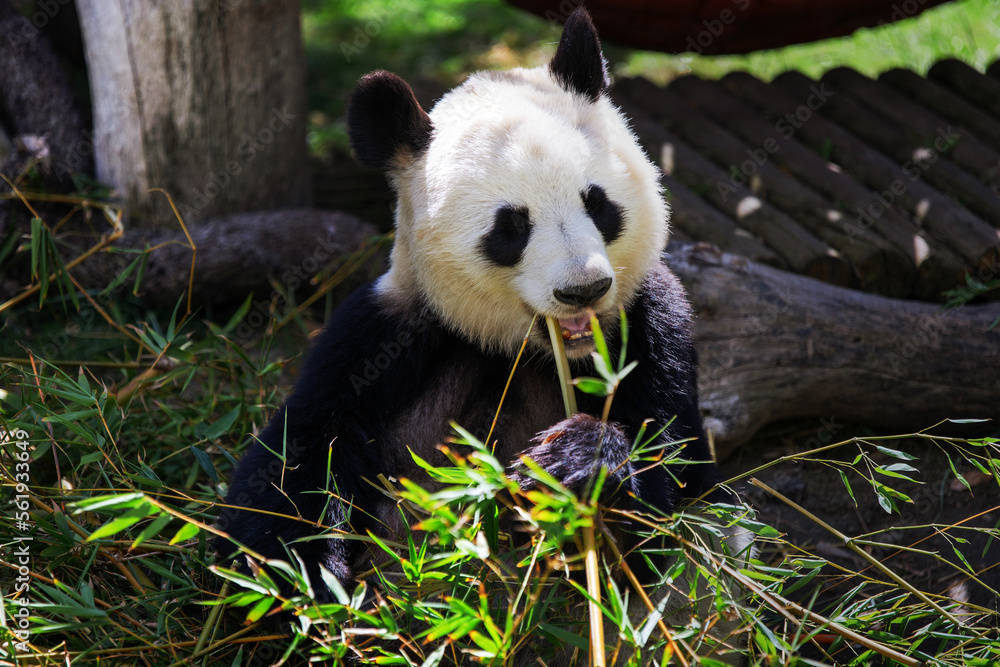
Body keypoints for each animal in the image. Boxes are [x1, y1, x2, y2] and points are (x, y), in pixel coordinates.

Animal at [217, 7, 749, 663]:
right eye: (511, 226)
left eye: (598, 203)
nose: (583, 290)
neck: (528, 350)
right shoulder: (388, 334)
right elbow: (293, 466)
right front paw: (310, 588)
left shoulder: (651, 321)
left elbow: (676, 486)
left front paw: (571, 462)